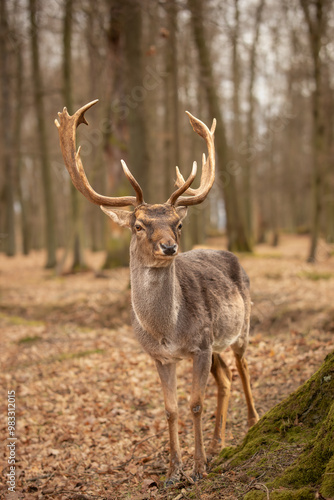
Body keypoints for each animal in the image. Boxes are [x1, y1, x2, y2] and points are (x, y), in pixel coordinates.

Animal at [54, 99, 260, 486]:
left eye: (178, 224)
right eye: (138, 225)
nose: (169, 247)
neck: (167, 330)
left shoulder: (200, 345)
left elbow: (195, 404)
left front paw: (197, 469)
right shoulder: (160, 357)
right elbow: (170, 409)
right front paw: (173, 470)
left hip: (242, 326)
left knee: (242, 366)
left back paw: (253, 422)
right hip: (216, 343)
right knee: (225, 377)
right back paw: (217, 443)